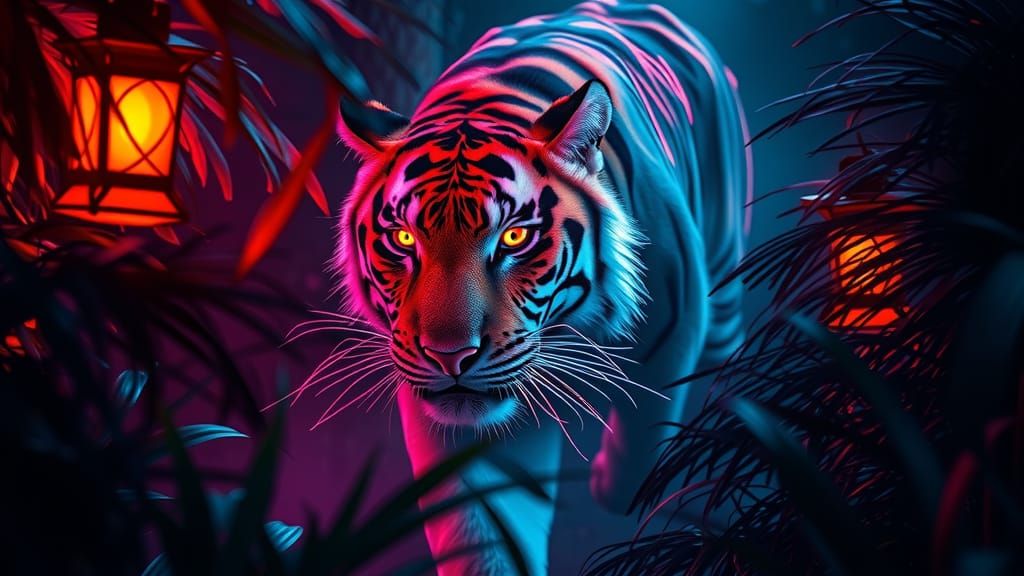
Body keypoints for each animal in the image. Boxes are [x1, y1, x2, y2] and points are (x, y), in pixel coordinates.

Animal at [328, 1, 750, 573]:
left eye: (514, 237)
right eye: (403, 238)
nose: (449, 356)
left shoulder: (675, 324)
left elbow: (642, 438)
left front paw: (617, 481)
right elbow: (482, 536)